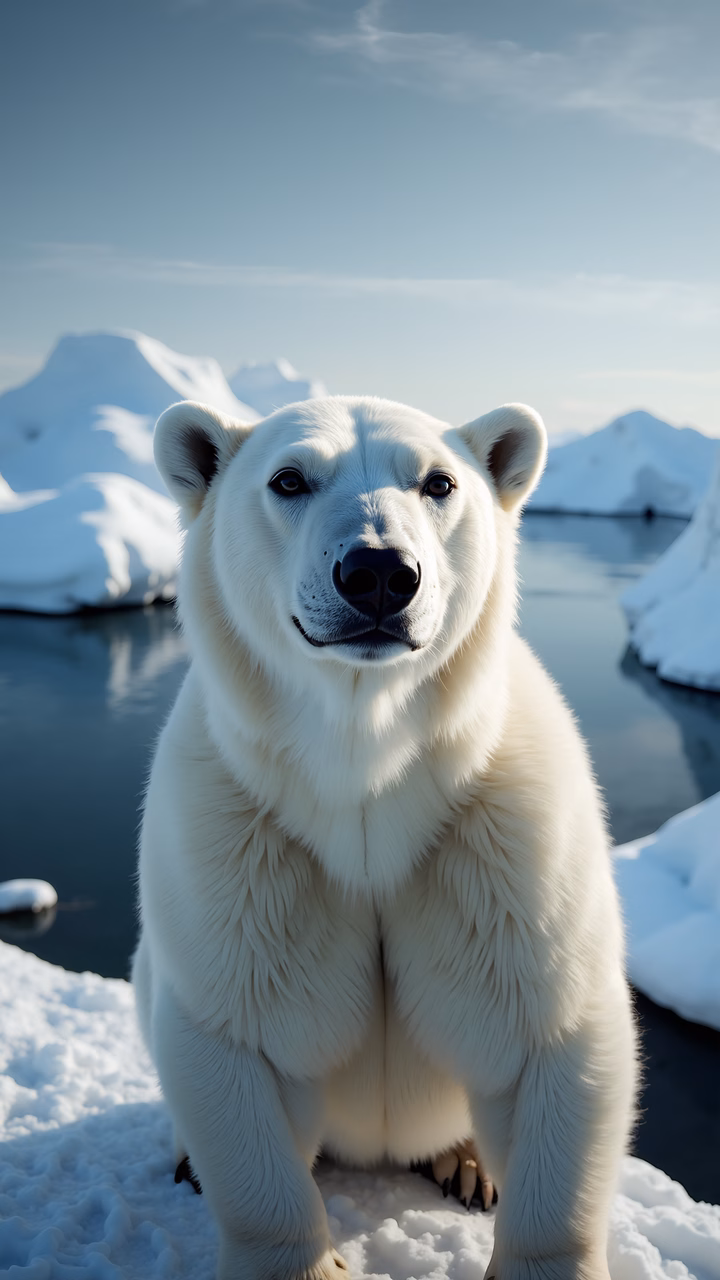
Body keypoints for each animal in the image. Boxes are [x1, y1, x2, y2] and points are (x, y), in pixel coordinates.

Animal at [133, 394, 637, 1280]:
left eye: (438, 481)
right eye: (289, 478)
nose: (377, 573)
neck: (366, 778)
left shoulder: (503, 842)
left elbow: (549, 1031)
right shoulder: (237, 844)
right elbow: (235, 1036)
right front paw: (301, 1259)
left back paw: (467, 1164)